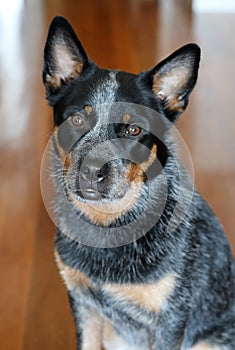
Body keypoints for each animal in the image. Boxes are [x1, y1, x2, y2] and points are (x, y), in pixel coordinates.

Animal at [42, 15, 235, 350]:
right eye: (77, 120)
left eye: (133, 130)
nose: (91, 170)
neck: (108, 225)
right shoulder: (82, 302)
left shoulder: (171, 317)